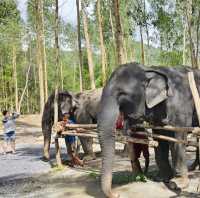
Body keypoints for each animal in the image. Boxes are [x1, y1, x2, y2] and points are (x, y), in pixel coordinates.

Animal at [97, 62, 198, 198]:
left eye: (121, 94)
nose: (117, 194)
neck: (150, 69)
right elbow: (159, 138)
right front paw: (161, 178)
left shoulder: (181, 103)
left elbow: (178, 136)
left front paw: (178, 184)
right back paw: (193, 168)